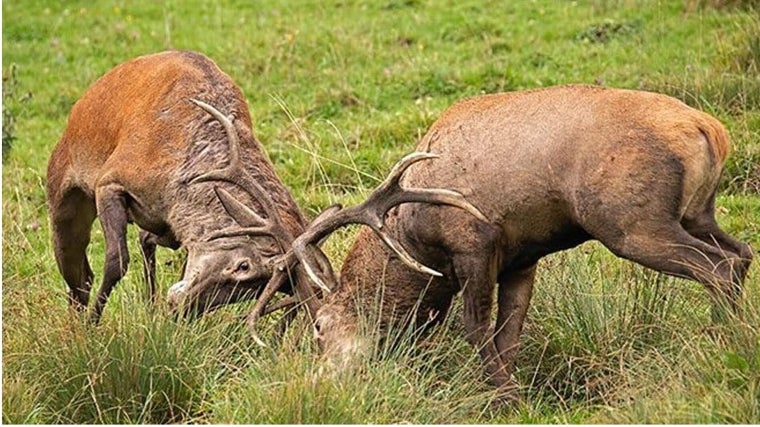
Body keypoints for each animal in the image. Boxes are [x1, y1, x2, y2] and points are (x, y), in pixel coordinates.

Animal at [47, 49, 480, 324]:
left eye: (252, 292)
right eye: (243, 267)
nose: (181, 307)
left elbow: (148, 252)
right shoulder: (113, 179)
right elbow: (115, 261)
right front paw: (94, 326)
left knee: (144, 243)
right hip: (61, 186)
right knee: (78, 272)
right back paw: (79, 320)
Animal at [308, 86, 756, 402]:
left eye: (319, 325)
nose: (321, 378)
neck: (416, 241)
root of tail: (711, 130)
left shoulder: (475, 245)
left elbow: (476, 329)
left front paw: (505, 398)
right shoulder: (521, 259)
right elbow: (509, 334)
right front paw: (510, 393)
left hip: (631, 223)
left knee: (717, 266)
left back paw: (723, 341)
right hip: (698, 213)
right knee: (742, 253)